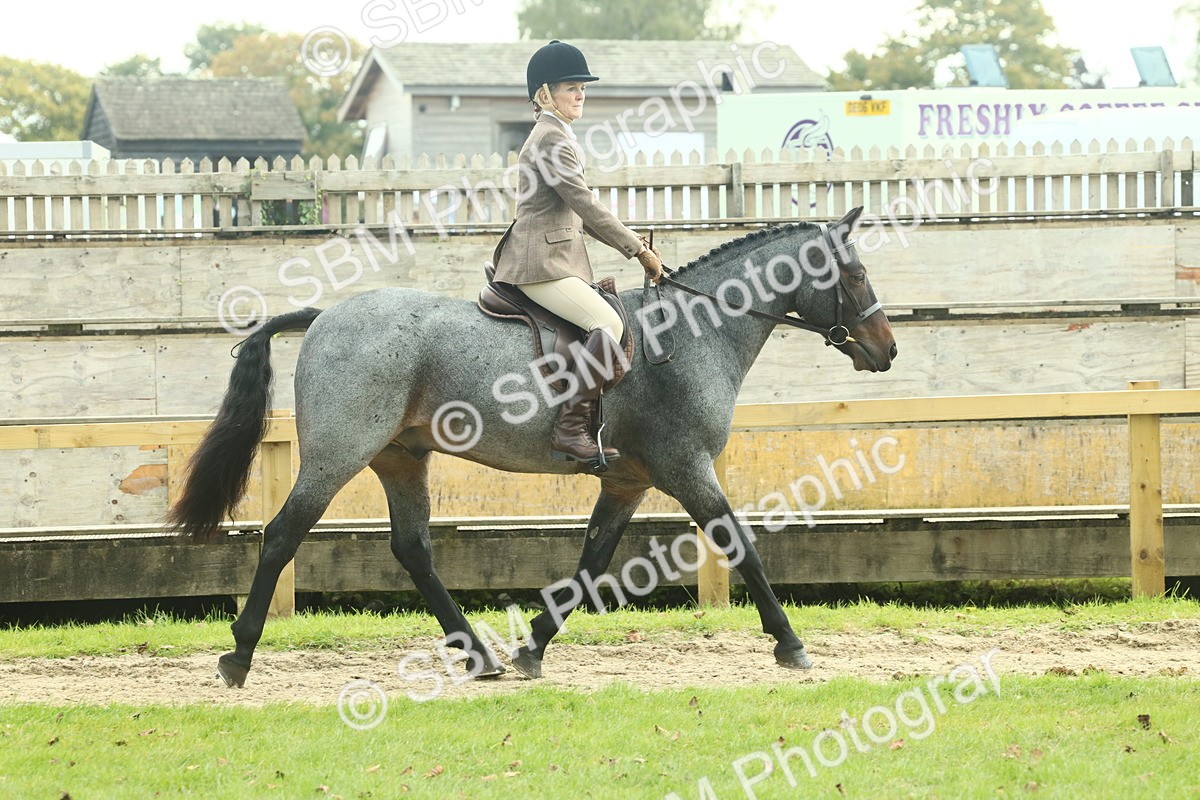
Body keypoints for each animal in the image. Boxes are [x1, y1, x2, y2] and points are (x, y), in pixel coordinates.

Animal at [168, 206, 897, 688]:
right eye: (857, 273)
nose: (886, 350)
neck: (693, 331)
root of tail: (325, 316)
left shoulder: (626, 481)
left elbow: (592, 561)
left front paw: (533, 649)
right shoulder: (688, 468)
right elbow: (740, 544)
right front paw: (791, 643)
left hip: (402, 458)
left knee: (412, 548)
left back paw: (480, 656)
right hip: (336, 457)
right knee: (282, 535)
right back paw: (238, 656)